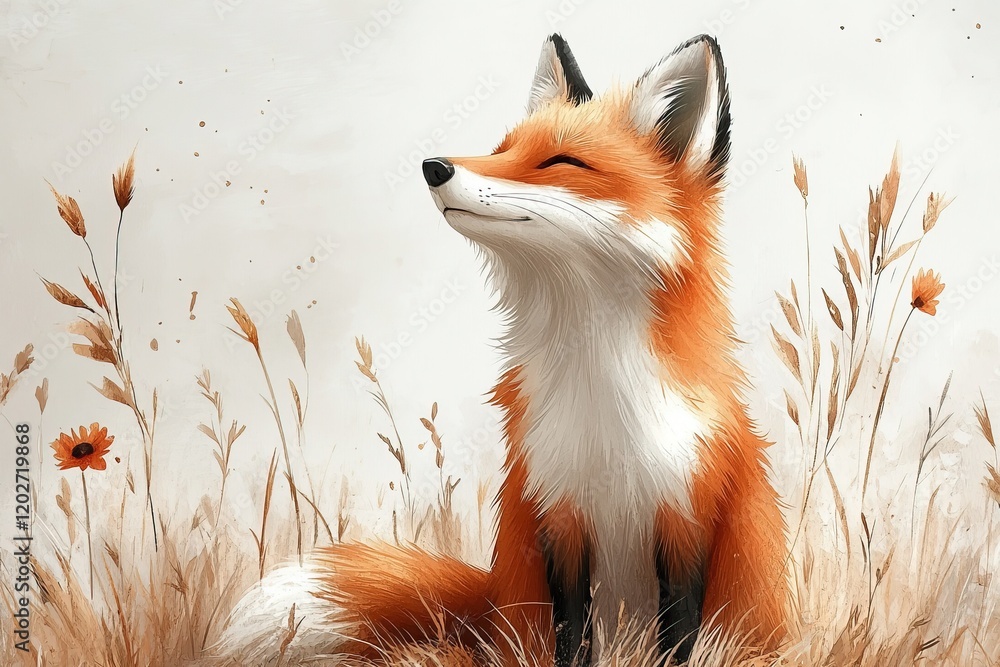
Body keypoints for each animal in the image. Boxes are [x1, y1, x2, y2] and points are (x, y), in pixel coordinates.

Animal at [215, 33, 789, 666]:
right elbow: (571, 632)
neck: (601, 401)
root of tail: (488, 606)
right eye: (501, 149)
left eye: (562, 162)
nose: (434, 167)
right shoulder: (556, 511)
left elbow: (679, 636)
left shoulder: (686, 512)